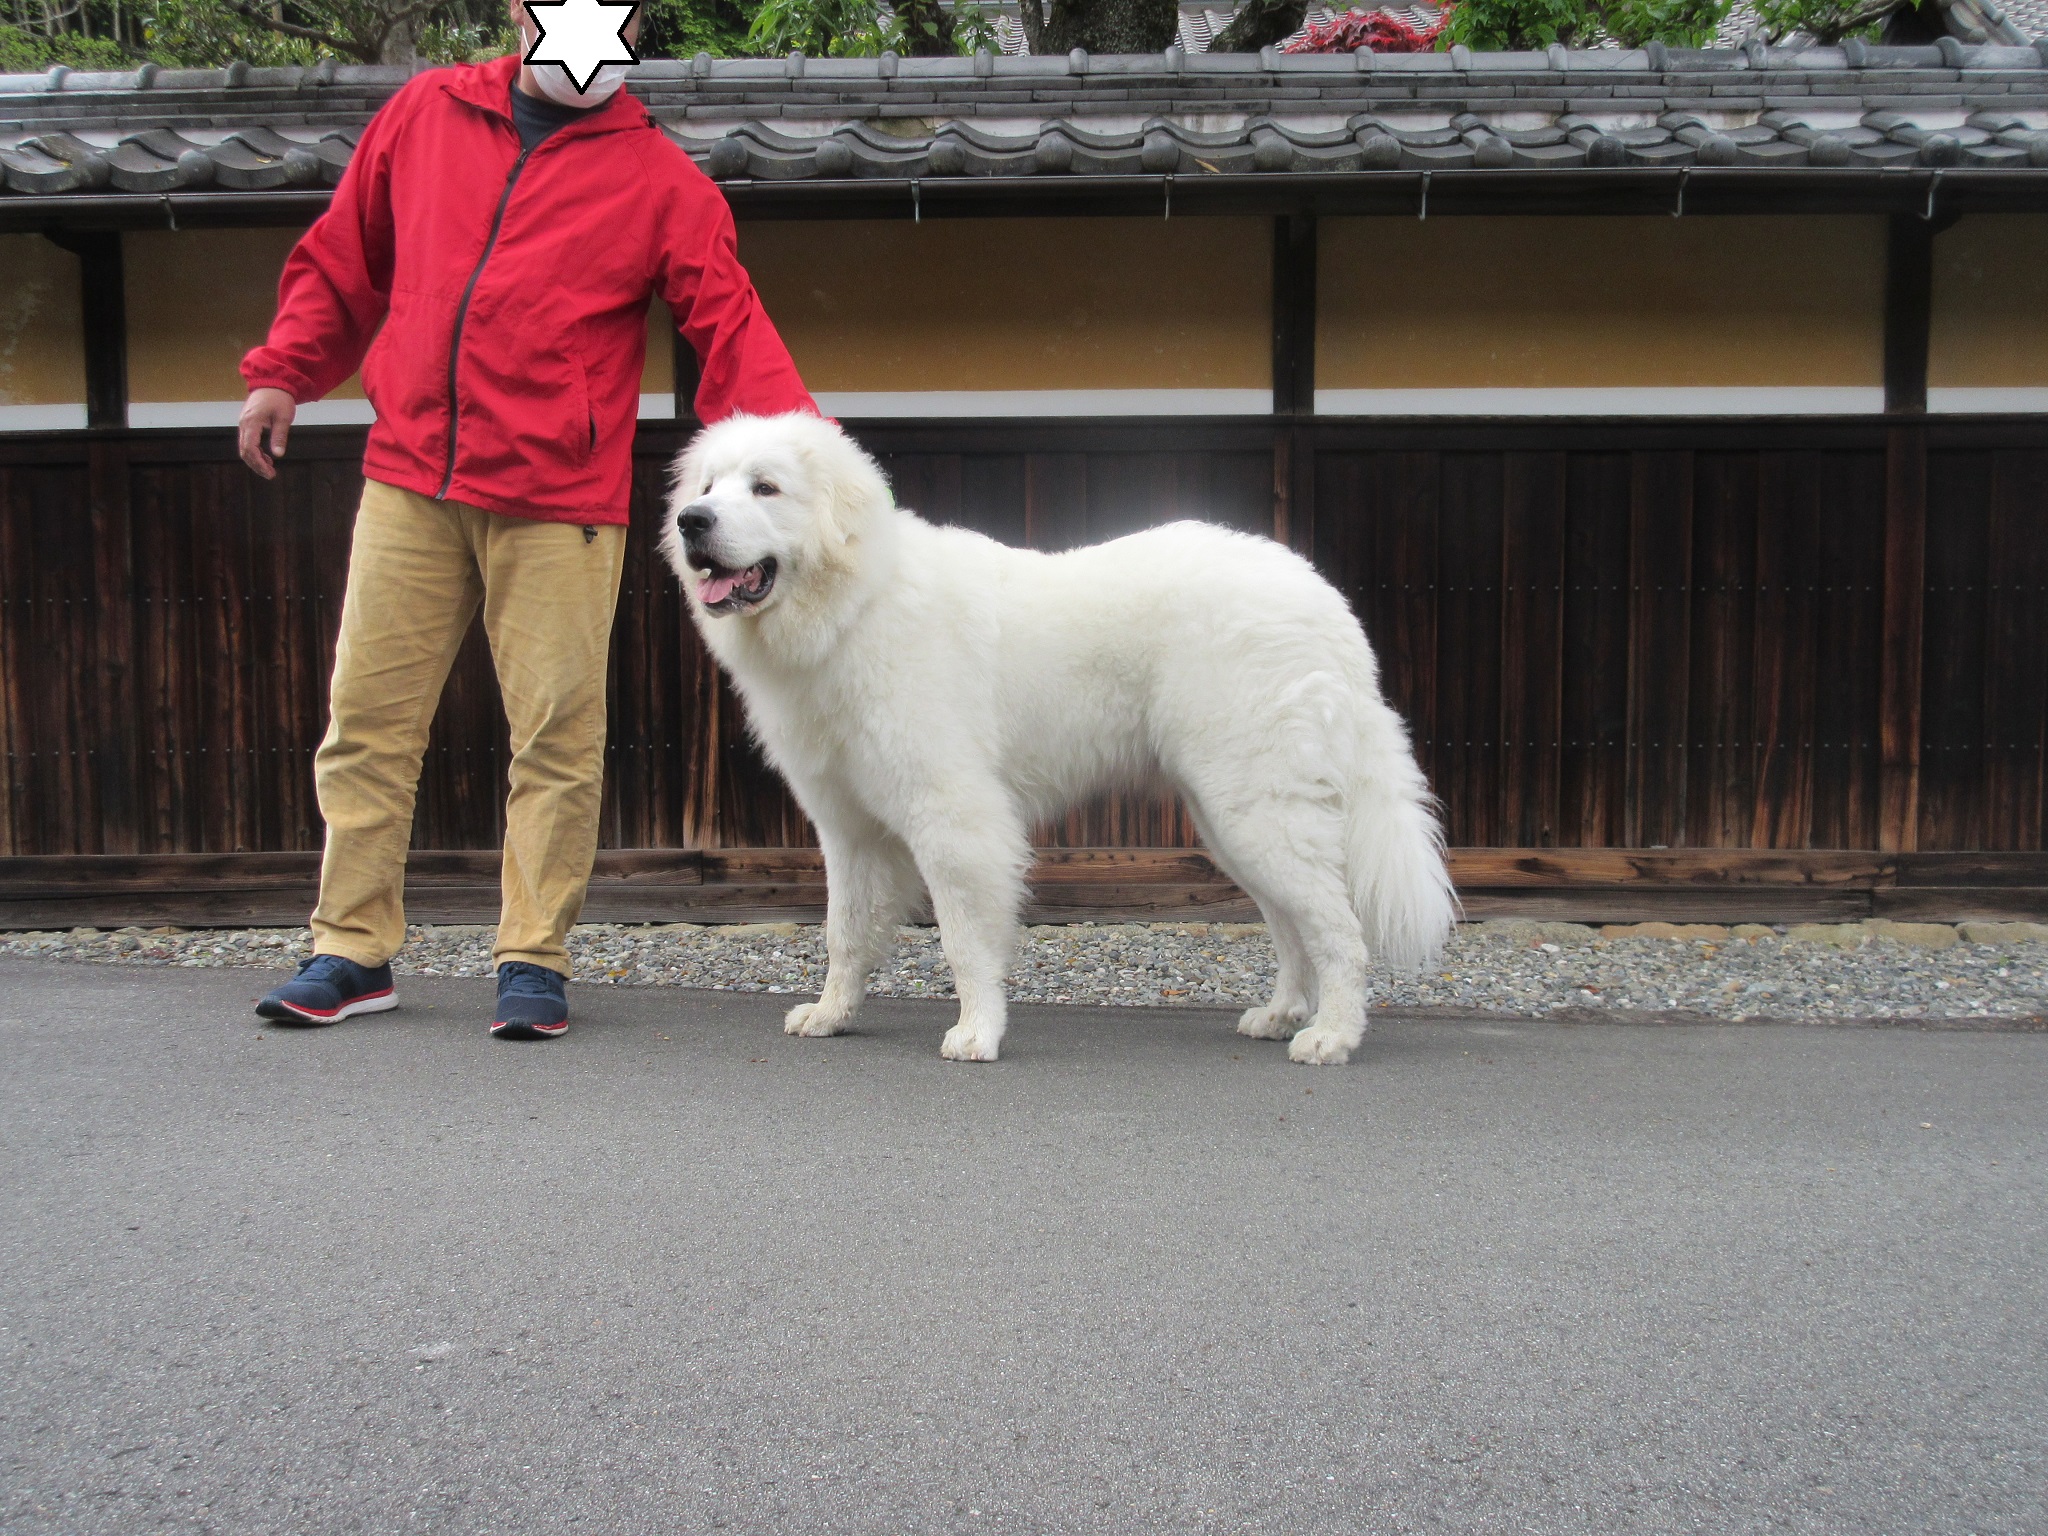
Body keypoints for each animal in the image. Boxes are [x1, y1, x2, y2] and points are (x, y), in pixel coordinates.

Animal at [659, 415, 1458, 1064]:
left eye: (766, 488)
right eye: (708, 485)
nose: (692, 521)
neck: (854, 605)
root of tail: (1324, 598)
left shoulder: (955, 819)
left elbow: (965, 939)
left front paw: (977, 1033)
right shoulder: (849, 829)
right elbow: (845, 933)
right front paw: (832, 1015)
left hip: (1258, 809)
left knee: (1339, 930)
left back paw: (1332, 1036)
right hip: (1231, 818)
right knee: (1292, 925)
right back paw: (1282, 1015)